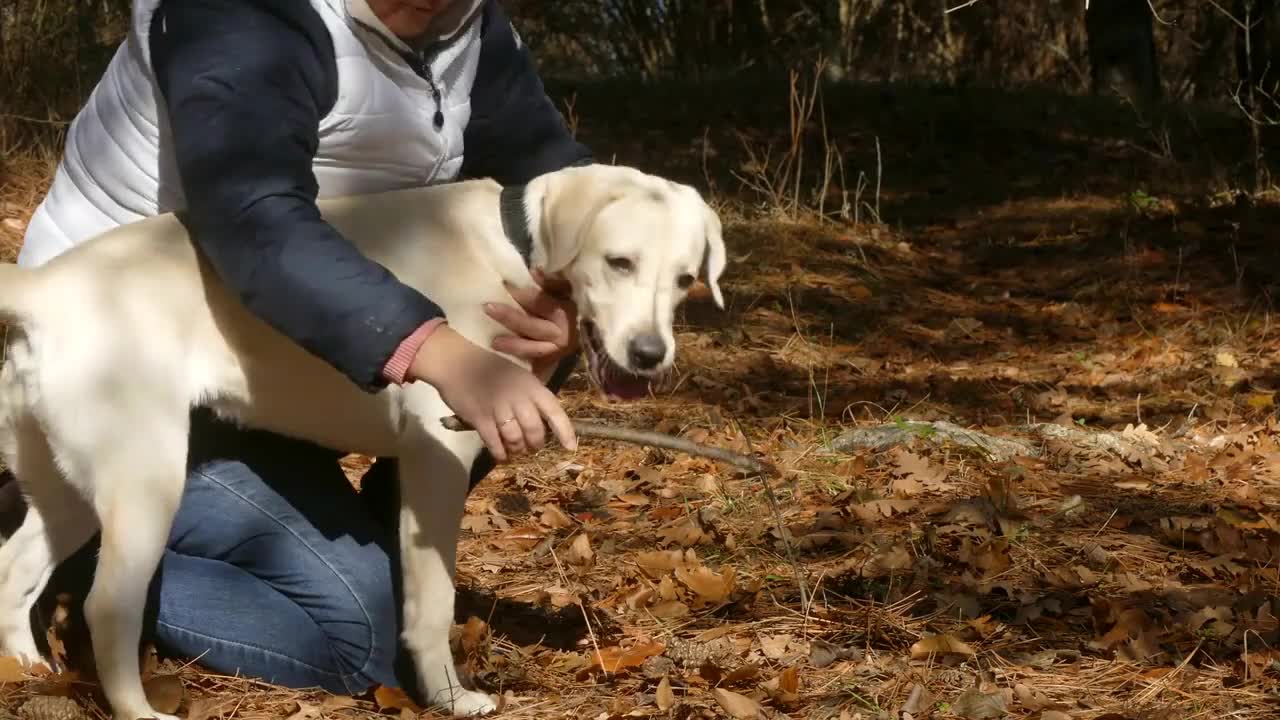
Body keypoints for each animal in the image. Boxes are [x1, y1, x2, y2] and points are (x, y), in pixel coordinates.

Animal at [0, 163, 727, 717]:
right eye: (619, 262)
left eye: (685, 279)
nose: (649, 356)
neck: (513, 248)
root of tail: (45, 289)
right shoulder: (439, 460)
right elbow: (431, 605)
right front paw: (449, 698)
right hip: (146, 484)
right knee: (105, 608)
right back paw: (137, 706)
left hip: (70, 486)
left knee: (14, 571)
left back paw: (28, 669)